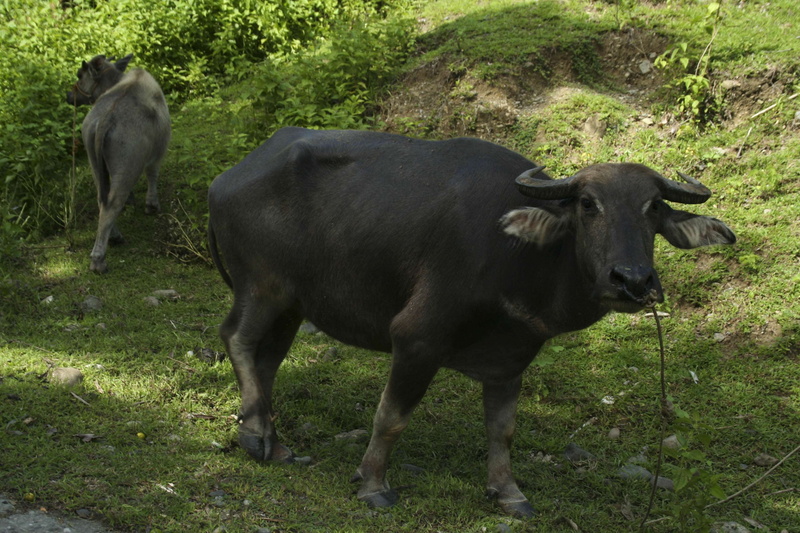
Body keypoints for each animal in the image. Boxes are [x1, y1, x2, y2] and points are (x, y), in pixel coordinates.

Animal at [66, 54, 171, 274]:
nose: (69, 96)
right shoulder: (159, 149)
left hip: (95, 163)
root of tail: (106, 118)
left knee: (102, 198)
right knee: (112, 203)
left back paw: (113, 237)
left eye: (80, 75)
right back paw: (99, 259)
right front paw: (152, 205)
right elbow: (152, 173)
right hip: (127, 164)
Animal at [207, 127, 735, 517]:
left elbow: (502, 430)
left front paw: (508, 492)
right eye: (588, 205)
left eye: (654, 207)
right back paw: (255, 435)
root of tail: (224, 179)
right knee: (237, 338)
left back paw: (272, 441)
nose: (632, 280)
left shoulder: (511, 358)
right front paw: (373, 483)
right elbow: (390, 417)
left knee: (268, 359)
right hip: (262, 286)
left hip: (293, 304)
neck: (521, 255)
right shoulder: (416, 339)